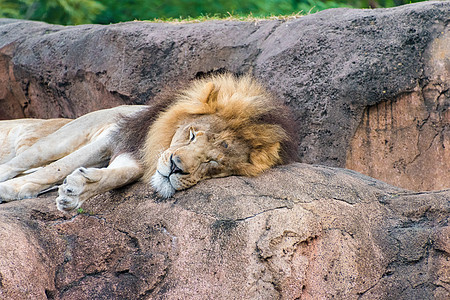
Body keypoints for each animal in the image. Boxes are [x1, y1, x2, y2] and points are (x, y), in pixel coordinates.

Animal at [0, 74, 298, 212]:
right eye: (192, 135)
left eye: (213, 161)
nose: (176, 167)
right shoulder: (115, 138)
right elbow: (57, 168)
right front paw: (11, 189)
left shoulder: (134, 161)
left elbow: (116, 176)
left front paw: (77, 190)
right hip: (60, 138)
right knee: (25, 163)